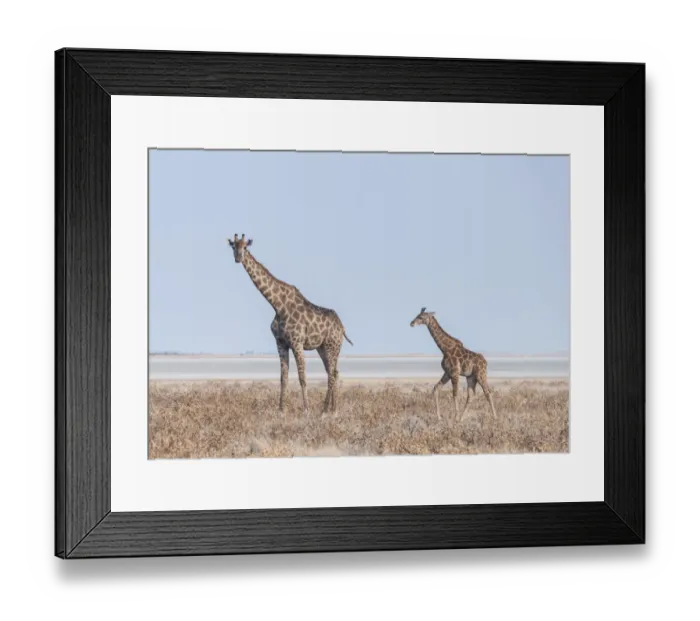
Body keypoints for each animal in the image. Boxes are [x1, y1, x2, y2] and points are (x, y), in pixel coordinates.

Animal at [227, 234, 353, 415]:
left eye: (245, 247)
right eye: (233, 246)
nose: (238, 258)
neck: (278, 305)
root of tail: (342, 327)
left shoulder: (297, 342)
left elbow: (302, 377)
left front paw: (306, 410)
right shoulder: (281, 343)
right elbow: (283, 377)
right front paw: (281, 410)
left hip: (332, 345)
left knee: (332, 373)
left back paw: (327, 411)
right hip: (322, 347)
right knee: (333, 372)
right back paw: (330, 410)